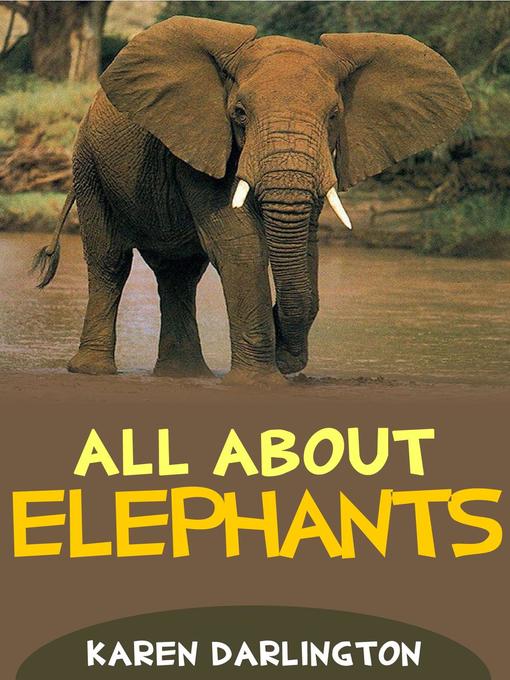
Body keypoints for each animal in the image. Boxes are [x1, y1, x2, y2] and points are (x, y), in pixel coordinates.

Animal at [34, 16, 470, 385]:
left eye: (334, 115)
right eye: (239, 113)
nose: (286, 352)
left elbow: (304, 247)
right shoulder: (205, 140)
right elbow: (240, 246)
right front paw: (261, 381)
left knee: (178, 274)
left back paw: (185, 375)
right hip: (89, 166)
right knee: (111, 261)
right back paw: (94, 371)